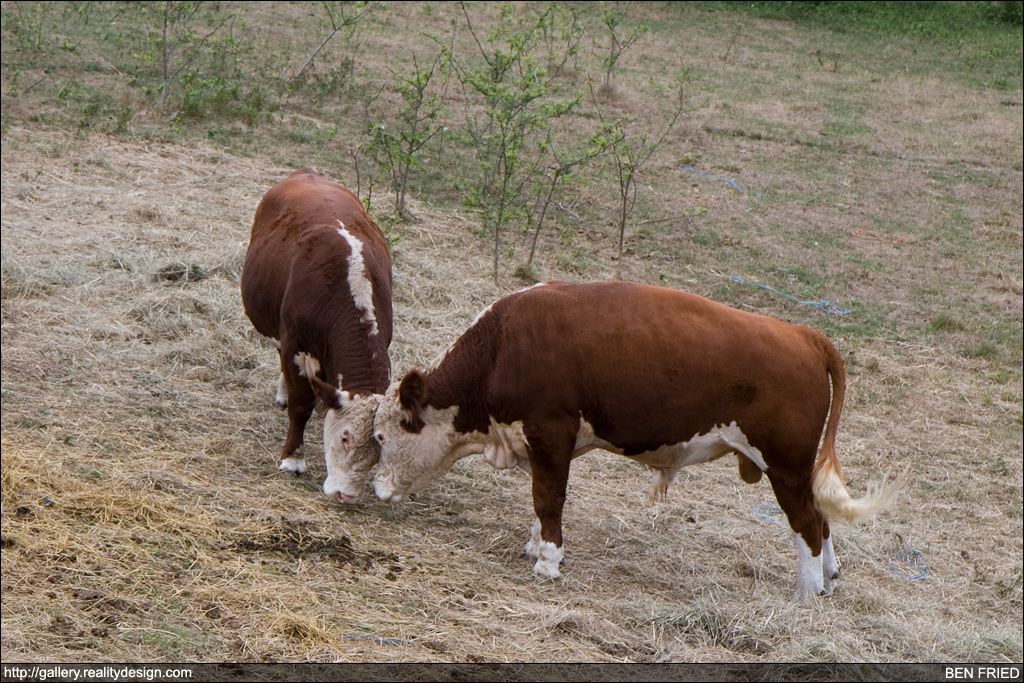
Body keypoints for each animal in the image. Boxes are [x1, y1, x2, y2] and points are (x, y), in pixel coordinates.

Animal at [241, 168, 393, 505]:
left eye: (379, 447)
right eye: (345, 437)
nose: (346, 496)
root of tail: (307, 174)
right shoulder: (295, 346)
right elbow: (301, 405)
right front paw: (293, 459)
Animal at [374, 280, 897, 602]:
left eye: (380, 435)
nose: (375, 491)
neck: (502, 345)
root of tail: (804, 334)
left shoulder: (551, 435)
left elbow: (548, 499)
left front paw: (548, 561)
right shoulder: (538, 445)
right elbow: (539, 500)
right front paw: (534, 545)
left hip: (784, 466)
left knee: (806, 522)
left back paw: (806, 593)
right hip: (797, 469)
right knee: (821, 519)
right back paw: (827, 578)